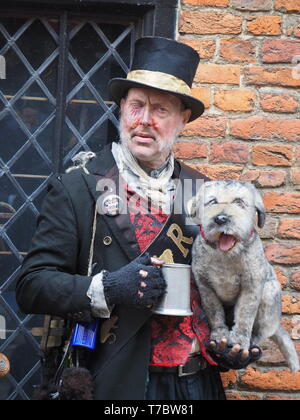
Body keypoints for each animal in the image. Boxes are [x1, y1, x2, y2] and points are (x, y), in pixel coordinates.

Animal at [190, 179, 300, 372]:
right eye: (212, 202)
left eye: (239, 202)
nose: (221, 219)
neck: (225, 256)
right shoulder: (205, 287)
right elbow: (214, 313)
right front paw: (219, 335)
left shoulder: (252, 287)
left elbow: (244, 317)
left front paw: (240, 342)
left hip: (269, 293)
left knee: (263, 331)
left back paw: (253, 341)